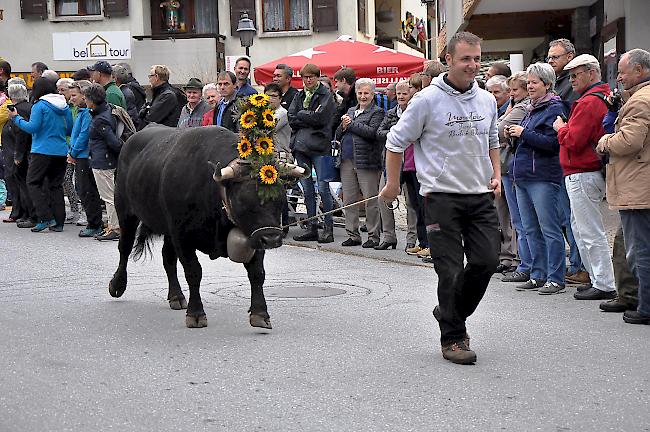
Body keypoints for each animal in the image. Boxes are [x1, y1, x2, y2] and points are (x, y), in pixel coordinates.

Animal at [109, 124, 304, 328]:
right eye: (243, 200)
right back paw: (117, 285)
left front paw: (260, 313)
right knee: (125, 248)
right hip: (125, 211)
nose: (272, 239)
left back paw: (176, 296)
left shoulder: (254, 235)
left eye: (280, 198)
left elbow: (257, 272)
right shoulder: (182, 235)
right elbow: (194, 272)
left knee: (167, 258)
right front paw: (196, 314)